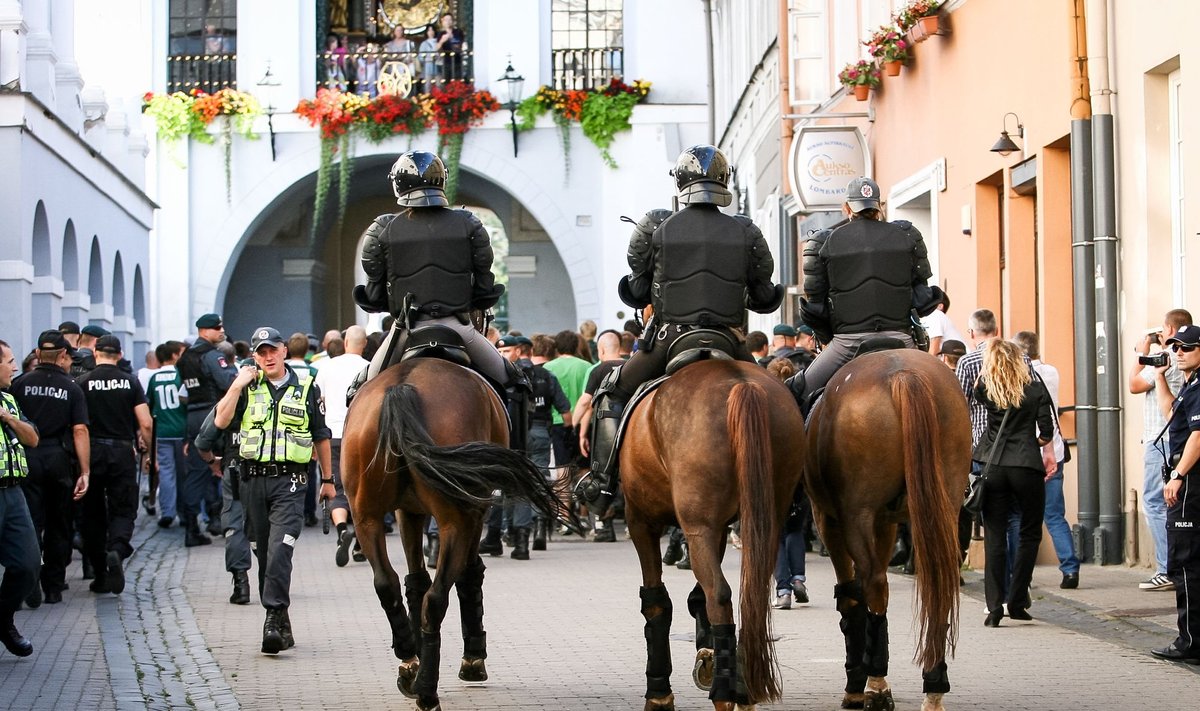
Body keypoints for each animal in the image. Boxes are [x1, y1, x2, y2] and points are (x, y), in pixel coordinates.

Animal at [338, 360, 561, 711]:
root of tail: (404, 386)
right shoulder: (476, 510)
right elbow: (469, 576)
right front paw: (473, 658)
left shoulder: (407, 512)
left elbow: (415, 581)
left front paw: (412, 665)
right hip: (456, 520)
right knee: (438, 596)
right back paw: (428, 690)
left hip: (367, 517)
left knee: (387, 583)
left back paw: (409, 661)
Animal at [619, 360, 806, 711]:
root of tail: (741, 382)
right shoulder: (718, 528)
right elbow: (698, 596)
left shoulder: (642, 521)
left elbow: (656, 603)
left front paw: (659, 692)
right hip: (764, 518)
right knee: (750, 595)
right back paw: (743, 683)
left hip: (697, 526)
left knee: (719, 595)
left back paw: (724, 692)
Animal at [801, 350, 969, 711]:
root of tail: (903, 375)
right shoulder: (886, 522)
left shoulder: (829, 520)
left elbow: (850, 595)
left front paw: (856, 682)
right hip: (943, 507)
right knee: (938, 583)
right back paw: (934, 685)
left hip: (856, 515)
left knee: (872, 583)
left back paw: (875, 684)